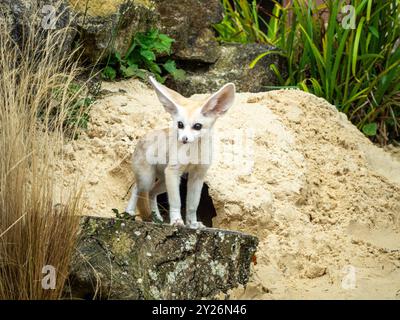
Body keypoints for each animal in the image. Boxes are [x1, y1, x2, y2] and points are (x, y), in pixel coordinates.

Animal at [126, 77, 234, 228]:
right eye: (180, 125)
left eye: (197, 126)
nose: (184, 139)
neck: (194, 152)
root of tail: (143, 137)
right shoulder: (173, 171)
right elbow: (176, 202)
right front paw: (177, 221)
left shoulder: (197, 175)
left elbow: (192, 205)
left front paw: (193, 223)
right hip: (149, 179)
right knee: (137, 189)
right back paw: (129, 212)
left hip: (164, 182)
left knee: (151, 192)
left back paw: (156, 217)